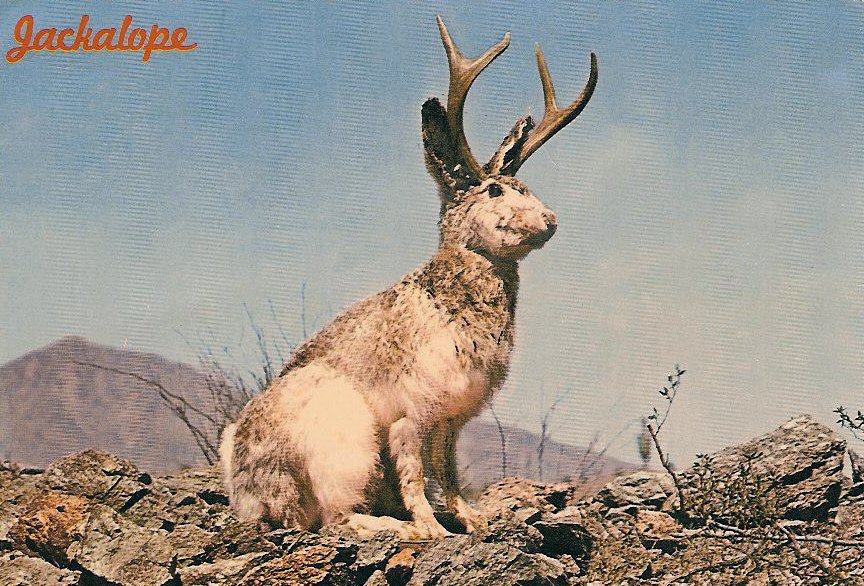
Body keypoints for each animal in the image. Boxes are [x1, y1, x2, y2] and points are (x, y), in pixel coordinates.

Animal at [219, 16, 597, 539]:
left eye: (524, 187)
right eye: (495, 190)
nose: (551, 220)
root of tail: (253, 493)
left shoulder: (451, 423)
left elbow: (448, 472)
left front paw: (473, 520)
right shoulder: (411, 416)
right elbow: (415, 473)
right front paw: (435, 529)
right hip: (347, 445)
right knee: (337, 519)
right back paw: (405, 530)